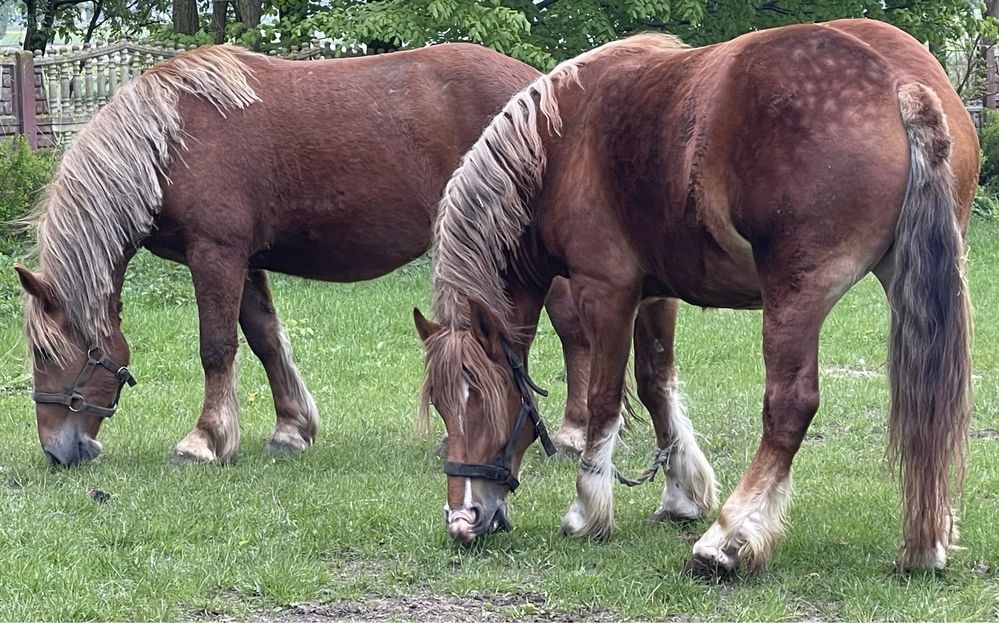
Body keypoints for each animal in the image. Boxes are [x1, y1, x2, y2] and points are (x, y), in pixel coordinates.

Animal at [15, 44, 680, 468]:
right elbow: (264, 339)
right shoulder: (245, 260)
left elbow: (217, 347)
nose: (56, 450)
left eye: (46, 355)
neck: (170, 140)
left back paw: (569, 432)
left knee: (574, 332)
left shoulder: (216, 253)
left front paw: (204, 441)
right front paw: (291, 428)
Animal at [416, 19, 976, 576]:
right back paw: (928, 541)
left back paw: (726, 538)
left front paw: (588, 509)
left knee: (789, 406)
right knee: (929, 404)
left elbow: (604, 399)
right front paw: (681, 493)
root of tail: (899, 83)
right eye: (442, 405)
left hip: (795, 295)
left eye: (481, 400)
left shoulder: (606, 290)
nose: (462, 519)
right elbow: (654, 384)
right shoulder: (654, 294)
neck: (560, 144)